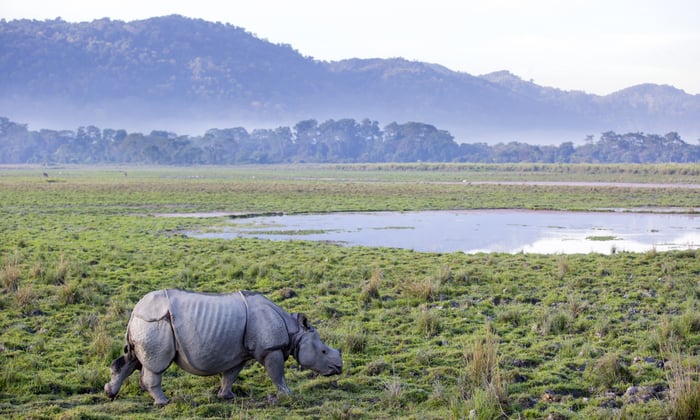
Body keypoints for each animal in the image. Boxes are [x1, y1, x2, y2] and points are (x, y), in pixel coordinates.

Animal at [104, 289, 342, 406]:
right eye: (323, 352)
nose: (339, 368)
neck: (294, 331)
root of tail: (135, 310)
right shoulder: (270, 349)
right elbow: (277, 375)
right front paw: (289, 395)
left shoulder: (240, 354)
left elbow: (230, 374)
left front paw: (227, 397)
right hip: (155, 323)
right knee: (155, 365)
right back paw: (163, 402)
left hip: (145, 324)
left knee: (132, 360)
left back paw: (110, 393)